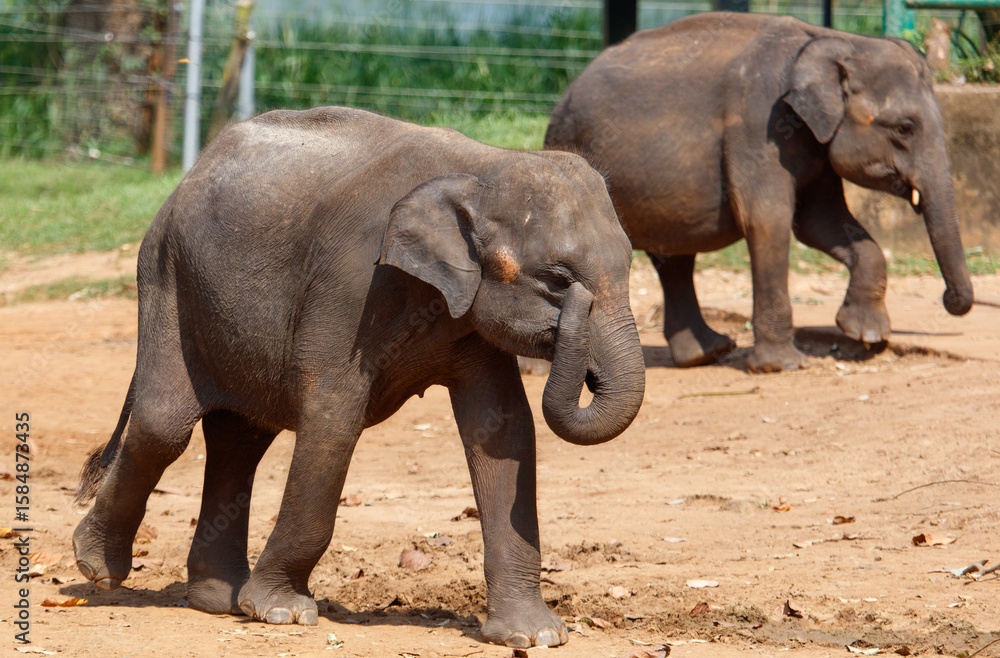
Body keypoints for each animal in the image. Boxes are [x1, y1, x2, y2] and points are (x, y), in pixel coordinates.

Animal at [72, 106, 645, 648]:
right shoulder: (352, 286)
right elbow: (333, 417)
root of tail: (191, 172)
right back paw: (97, 570)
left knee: (241, 440)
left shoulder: (469, 317)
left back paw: (219, 601)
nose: (576, 318)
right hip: (167, 276)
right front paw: (281, 612)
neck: (481, 165)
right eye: (557, 279)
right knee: (164, 427)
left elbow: (503, 430)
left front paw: (534, 636)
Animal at [545, 12, 974, 372]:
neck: (833, 40)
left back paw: (707, 353)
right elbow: (769, 220)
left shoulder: (815, 140)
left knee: (675, 257)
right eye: (904, 128)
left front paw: (865, 334)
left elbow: (821, 223)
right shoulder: (759, 124)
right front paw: (784, 366)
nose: (949, 300)